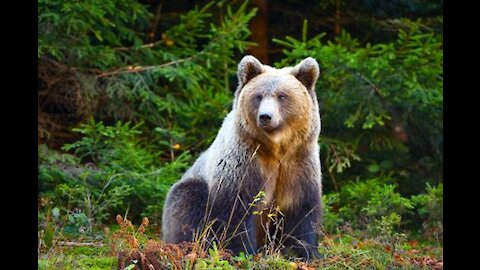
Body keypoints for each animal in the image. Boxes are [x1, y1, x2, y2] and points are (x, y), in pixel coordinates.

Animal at [161, 54, 322, 260]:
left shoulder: (298, 162)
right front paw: (242, 251)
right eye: (258, 96)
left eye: (282, 96)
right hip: (191, 187)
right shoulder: (244, 162)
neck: (275, 149)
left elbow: (301, 212)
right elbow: (237, 210)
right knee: (188, 203)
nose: (265, 116)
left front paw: (306, 252)